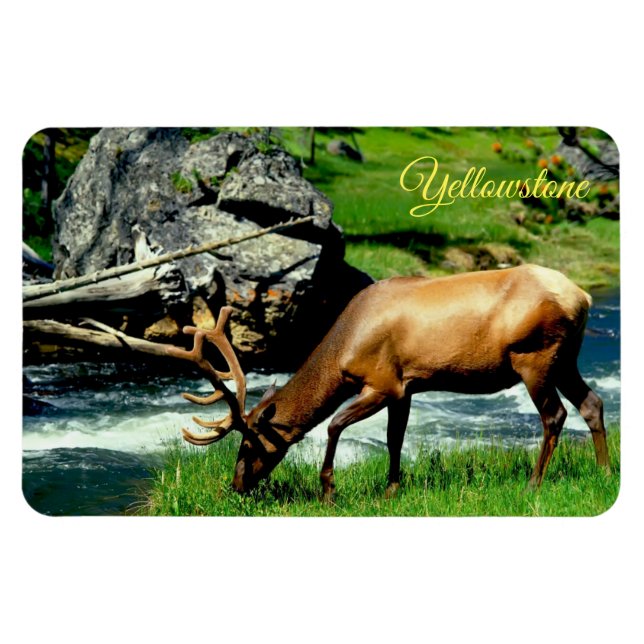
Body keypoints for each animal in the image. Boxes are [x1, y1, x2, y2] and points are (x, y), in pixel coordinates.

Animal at [167, 263, 610, 501]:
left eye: (248, 444)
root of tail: (584, 297)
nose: (236, 484)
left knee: (554, 415)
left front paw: (328, 490)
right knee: (592, 403)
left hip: (535, 357)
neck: (343, 350)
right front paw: (391, 489)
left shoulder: (382, 383)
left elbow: (333, 425)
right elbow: (395, 438)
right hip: (565, 359)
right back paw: (605, 471)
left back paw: (534, 483)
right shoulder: (407, 385)